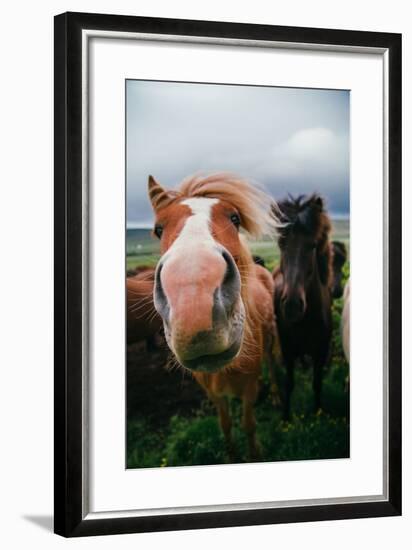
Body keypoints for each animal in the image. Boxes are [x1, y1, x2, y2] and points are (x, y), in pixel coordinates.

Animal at [146, 174, 278, 462]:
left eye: (235, 218)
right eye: (158, 229)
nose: (194, 302)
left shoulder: (249, 387)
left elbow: (249, 424)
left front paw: (255, 455)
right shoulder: (215, 395)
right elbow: (226, 425)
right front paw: (232, 456)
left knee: (276, 363)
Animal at [272, 196, 334, 420]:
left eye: (312, 245)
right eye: (281, 243)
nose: (292, 305)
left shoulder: (321, 352)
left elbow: (317, 384)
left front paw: (317, 413)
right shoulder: (288, 350)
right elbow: (289, 383)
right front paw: (285, 417)